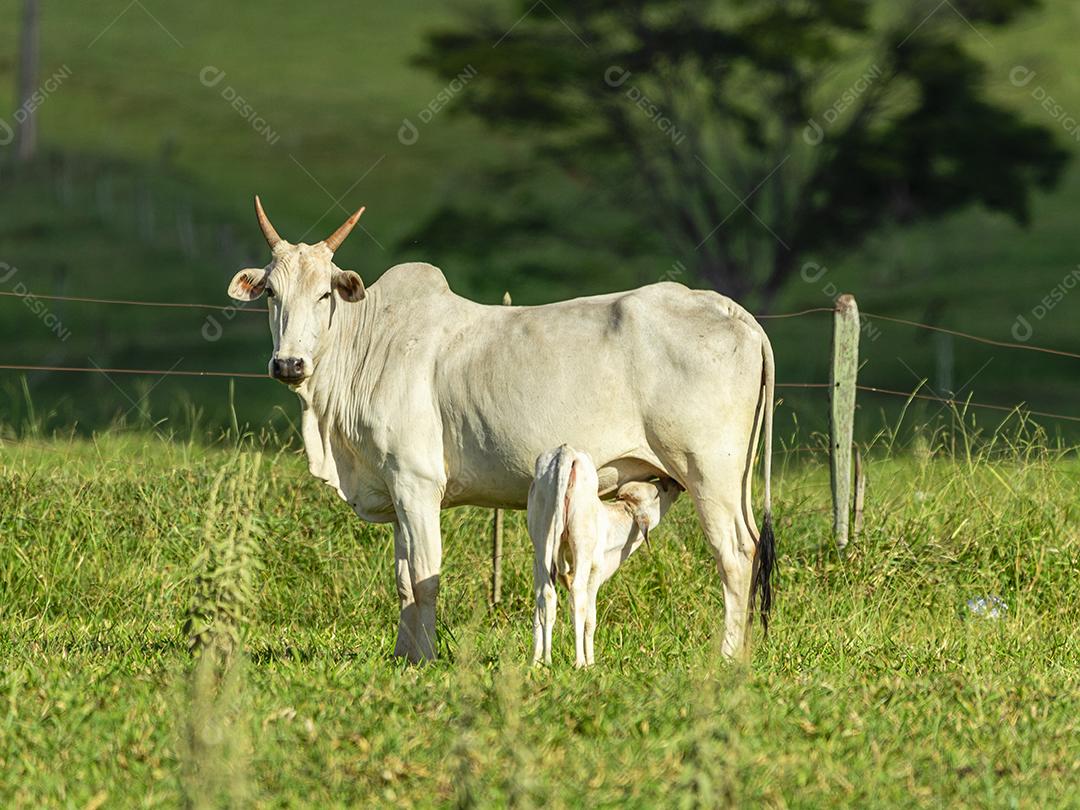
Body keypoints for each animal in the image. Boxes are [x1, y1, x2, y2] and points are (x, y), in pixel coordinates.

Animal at [528, 445, 682, 667]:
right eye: (658, 493)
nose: (674, 482)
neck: (611, 522)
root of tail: (566, 452)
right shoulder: (596, 569)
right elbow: (590, 617)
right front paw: (590, 662)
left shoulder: (540, 563)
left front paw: (536, 660)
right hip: (581, 545)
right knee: (577, 594)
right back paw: (579, 662)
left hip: (542, 540)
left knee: (546, 596)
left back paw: (545, 661)